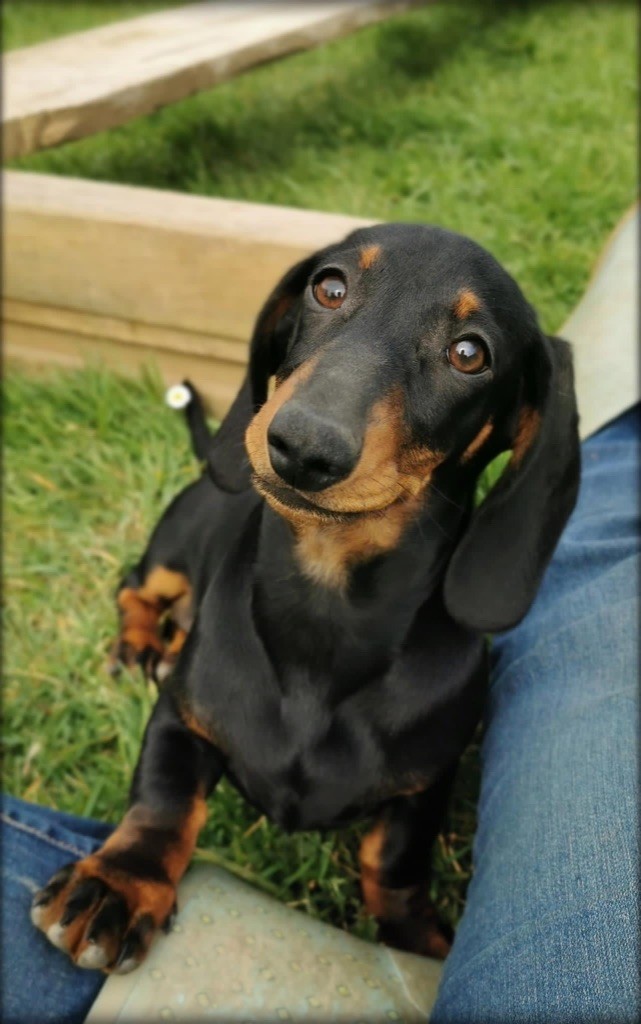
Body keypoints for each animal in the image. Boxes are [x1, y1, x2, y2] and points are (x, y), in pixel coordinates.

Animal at [31, 223, 580, 974]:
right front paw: (120, 882)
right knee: (134, 588)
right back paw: (141, 646)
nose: (302, 445)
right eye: (330, 286)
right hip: (171, 551)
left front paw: (414, 937)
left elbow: (392, 861)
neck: (326, 610)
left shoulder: (426, 784)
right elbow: (164, 802)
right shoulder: (180, 719)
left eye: (470, 353)